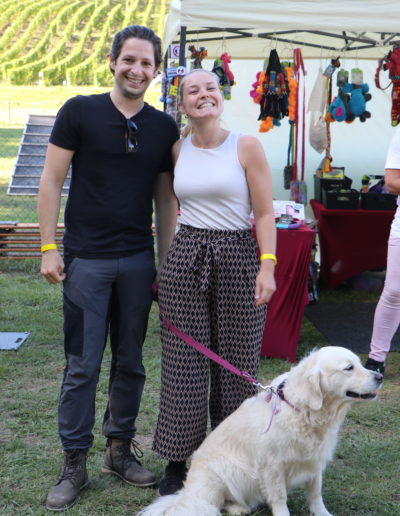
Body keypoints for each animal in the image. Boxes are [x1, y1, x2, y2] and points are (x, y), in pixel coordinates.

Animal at [138, 346, 383, 516]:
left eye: (360, 363)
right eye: (348, 367)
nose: (379, 377)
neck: (304, 411)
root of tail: (188, 493)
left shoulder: (314, 460)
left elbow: (316, 493)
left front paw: (322, 513)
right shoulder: (272, 465)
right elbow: (279, 497)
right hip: (224, 470)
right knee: (217, 502)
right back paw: (238, 508)